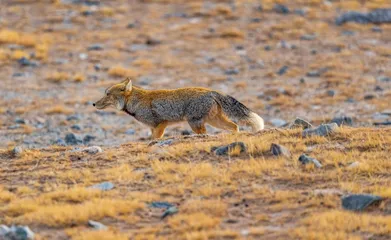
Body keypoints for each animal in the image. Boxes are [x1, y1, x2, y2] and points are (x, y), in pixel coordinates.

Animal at [93, 78, 264, 140]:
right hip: (215, 121)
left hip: (195, 123)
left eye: (107, 94)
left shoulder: (161, 123)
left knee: (206, 133)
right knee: (234, 126)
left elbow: (155, 139)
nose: (94, 104)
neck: (136, 102)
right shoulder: (152, 127)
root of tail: (210, 90)